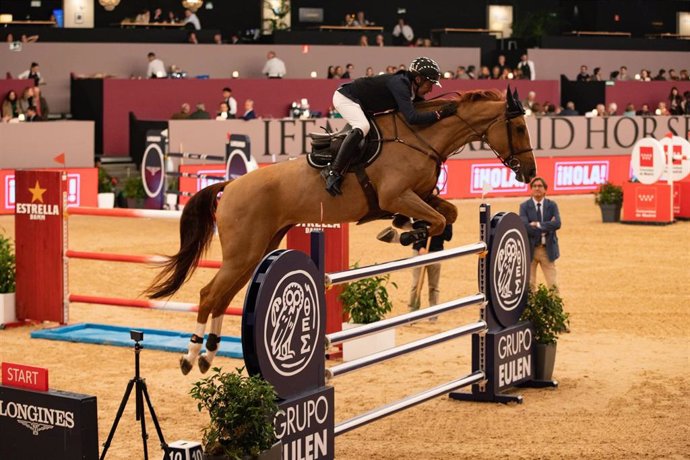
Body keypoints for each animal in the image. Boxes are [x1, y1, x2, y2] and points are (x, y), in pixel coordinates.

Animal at [145, 86, 536, 374]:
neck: (422, 138)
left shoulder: (420, 196)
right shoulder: (398, 195)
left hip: (256, 251)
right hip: (243, 253)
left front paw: (401, 230)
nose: (530, 173)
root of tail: (230, 185)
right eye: (518, 128)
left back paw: (209, 354)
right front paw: (405, 233)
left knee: (223, 298)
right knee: (209, 295)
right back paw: (191, 356)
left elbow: (448, 214)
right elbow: (437, 221)